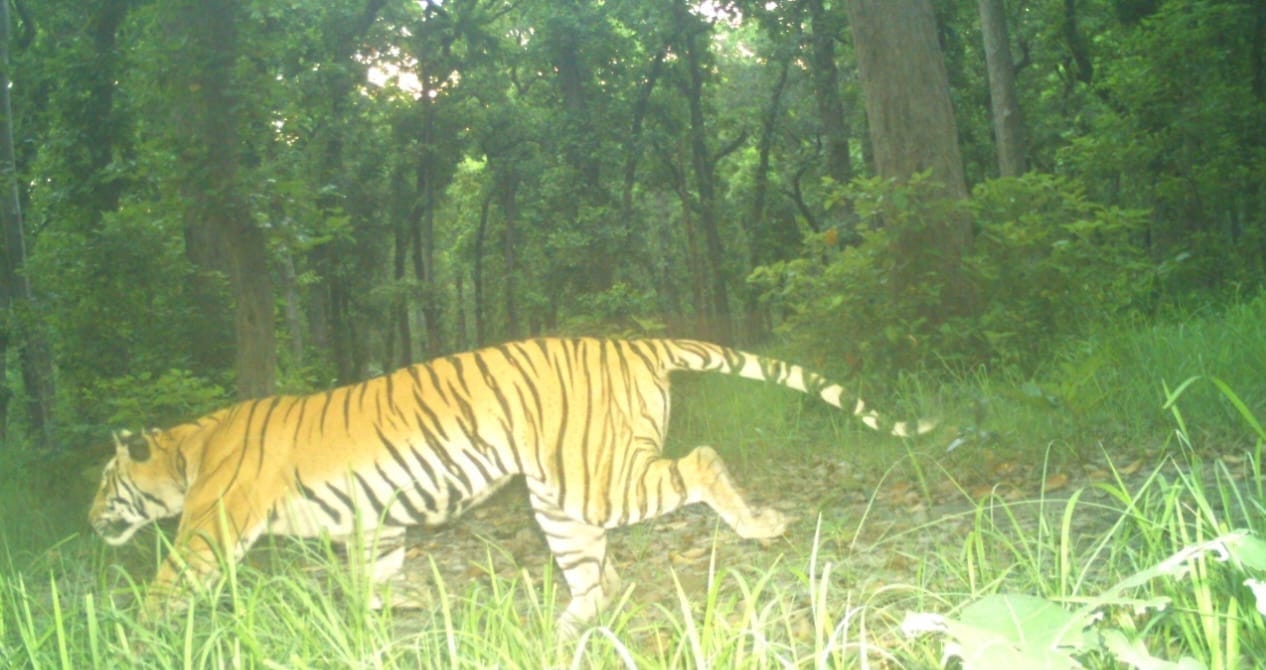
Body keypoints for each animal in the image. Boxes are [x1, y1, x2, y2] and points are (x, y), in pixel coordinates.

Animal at [89, 337, 932, 634]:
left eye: (104, 482)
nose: (89, 516)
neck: (188, 450)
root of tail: (633, 339)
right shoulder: (375, 521)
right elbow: (372, 578)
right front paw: (389, 614)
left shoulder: (213, 525)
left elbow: (172, 581)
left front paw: (134, 634)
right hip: (558, 497)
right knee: (596, 574)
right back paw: (565, 628)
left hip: (600, 477)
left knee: (697, 462)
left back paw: (758, 525)